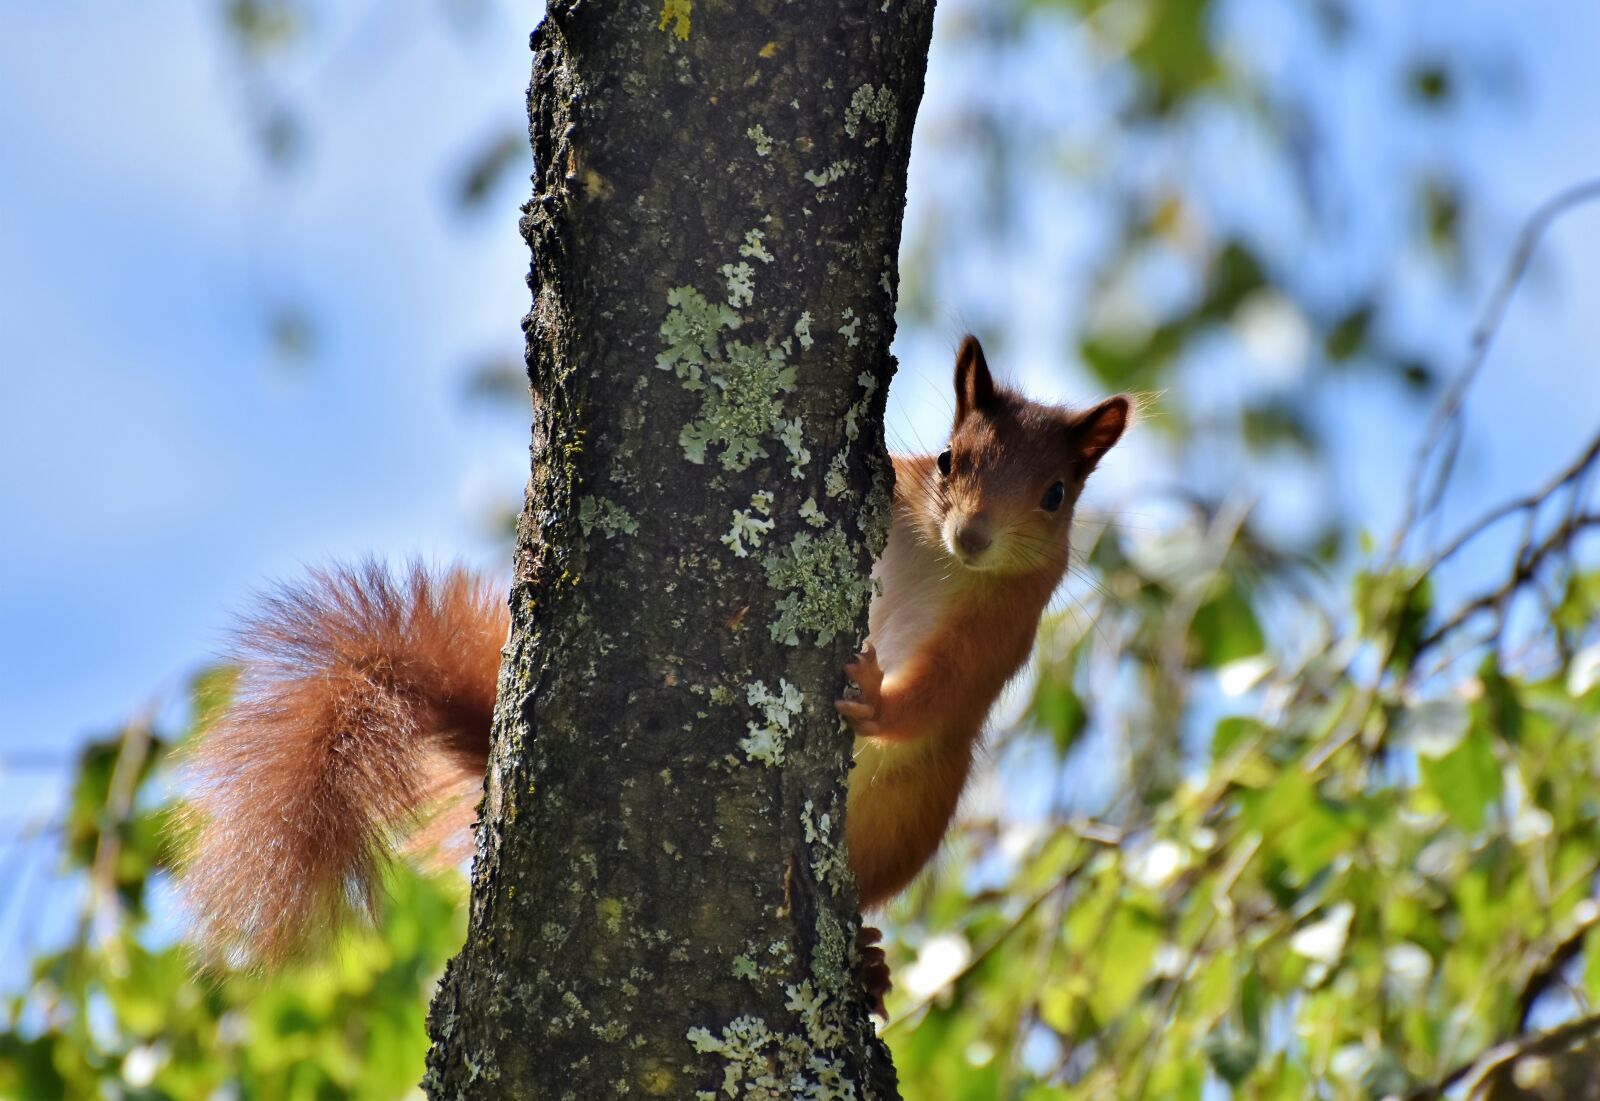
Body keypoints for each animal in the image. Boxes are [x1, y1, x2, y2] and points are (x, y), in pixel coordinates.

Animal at [179, 335, 1129, 1008]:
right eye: (948, 461)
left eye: (1055, 495)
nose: (971, 535)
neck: (942, 564)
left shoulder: (1004, 627)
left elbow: (945, 691)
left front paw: (873, 695)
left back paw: (863, 954)